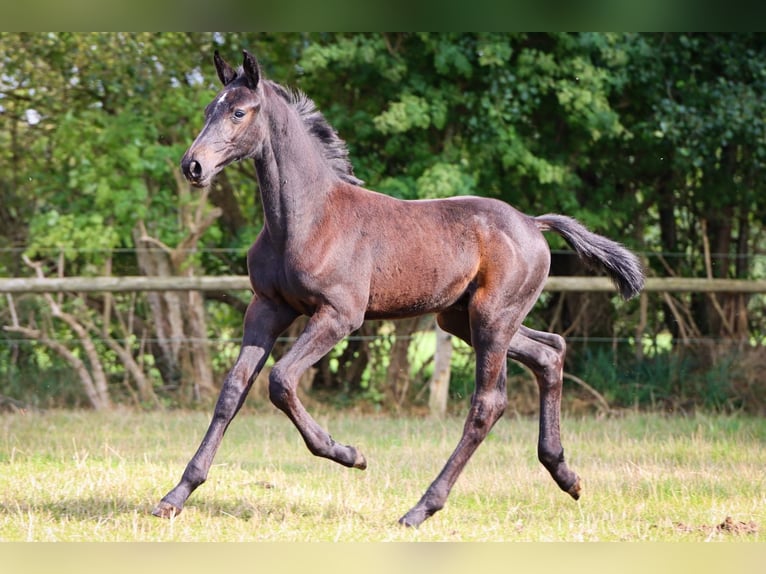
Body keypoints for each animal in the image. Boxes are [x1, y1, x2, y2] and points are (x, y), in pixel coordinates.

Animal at [153, 51, 644, 528]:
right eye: (208, 109)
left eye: (239, 112)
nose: (192, 166)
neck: (307, 219)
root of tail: (532, 223)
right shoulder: (267, 307)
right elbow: (233, 391)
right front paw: (175, 496)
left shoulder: (339, 314)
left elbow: (280, 380)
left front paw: (349, 454)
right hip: (463, 318)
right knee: (550, 351)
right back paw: (565, 474)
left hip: (492, 317)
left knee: (488, 404)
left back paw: (420, 509)